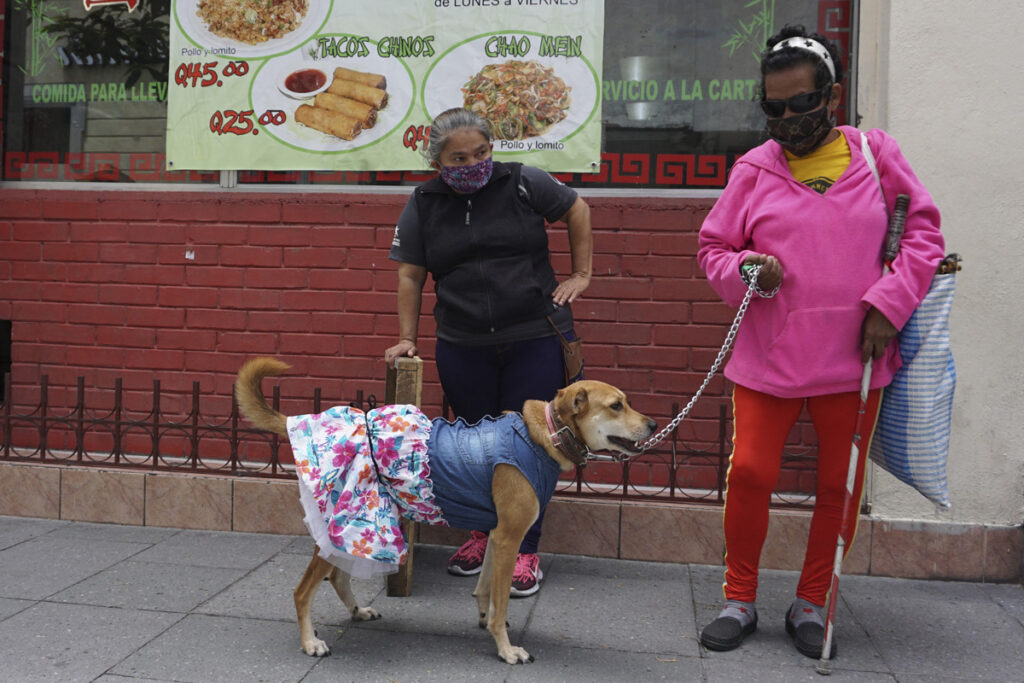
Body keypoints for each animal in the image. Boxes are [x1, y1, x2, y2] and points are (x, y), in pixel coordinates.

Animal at [235, 358, 655, 663]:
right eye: (616, 405)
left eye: (627, 401)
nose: (653, 423)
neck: (544, 436)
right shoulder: (509, 537)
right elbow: (501, 599)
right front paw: (507, 649)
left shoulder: (496, 537)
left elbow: (486, 589)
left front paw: (486, 621)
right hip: (347, 522)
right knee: (302, 590)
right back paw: (310, 642)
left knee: (337, 577)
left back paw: (357, 611)